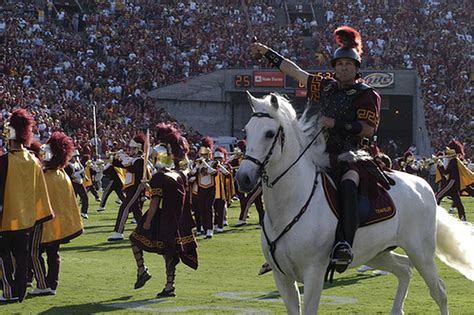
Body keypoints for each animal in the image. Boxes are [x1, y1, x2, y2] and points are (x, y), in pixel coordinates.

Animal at [236, 92, 474, 315]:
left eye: (269, 133)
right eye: (246, 130)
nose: (243, 178)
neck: (290, 205)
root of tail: (423, 185)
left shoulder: (313, 272)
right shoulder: (282, 276)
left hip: (421, 253)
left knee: (439, 291)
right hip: (377, 252)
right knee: (405, 269)